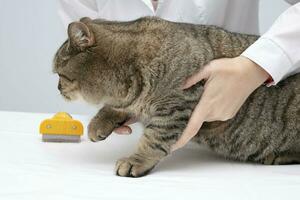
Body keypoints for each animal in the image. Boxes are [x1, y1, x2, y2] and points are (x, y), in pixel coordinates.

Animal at [52, 16, 298, 177]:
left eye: (60, 75)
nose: (57, 88)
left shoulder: (174, 108)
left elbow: (153, 139)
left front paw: (135, 160)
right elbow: (117, 107)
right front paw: (100, 121)